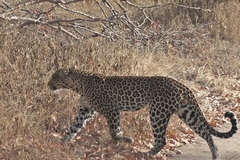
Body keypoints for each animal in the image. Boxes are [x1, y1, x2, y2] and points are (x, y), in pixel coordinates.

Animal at [47, 68, 238, 159]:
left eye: (54, 77)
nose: (48, 84)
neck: (78, 84)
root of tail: (182, 85)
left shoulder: (111, 110)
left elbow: (114, 131)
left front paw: (126, 140)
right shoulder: (85, 111)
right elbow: (73, 129)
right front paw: (61, 144)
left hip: (157, 112)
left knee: (162, 140)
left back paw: (145, 154)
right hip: (187, 113)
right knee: (206, 133)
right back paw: (215, 155)